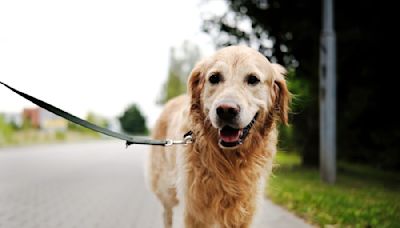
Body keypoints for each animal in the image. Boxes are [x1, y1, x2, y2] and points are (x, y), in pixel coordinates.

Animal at [148, 45, 290, 227]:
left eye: (253, 79)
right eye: (214, 78)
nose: (226, 110)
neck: (229, 160)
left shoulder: (243, 211)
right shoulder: (196, 211)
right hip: (166, 188)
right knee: (167, 212)